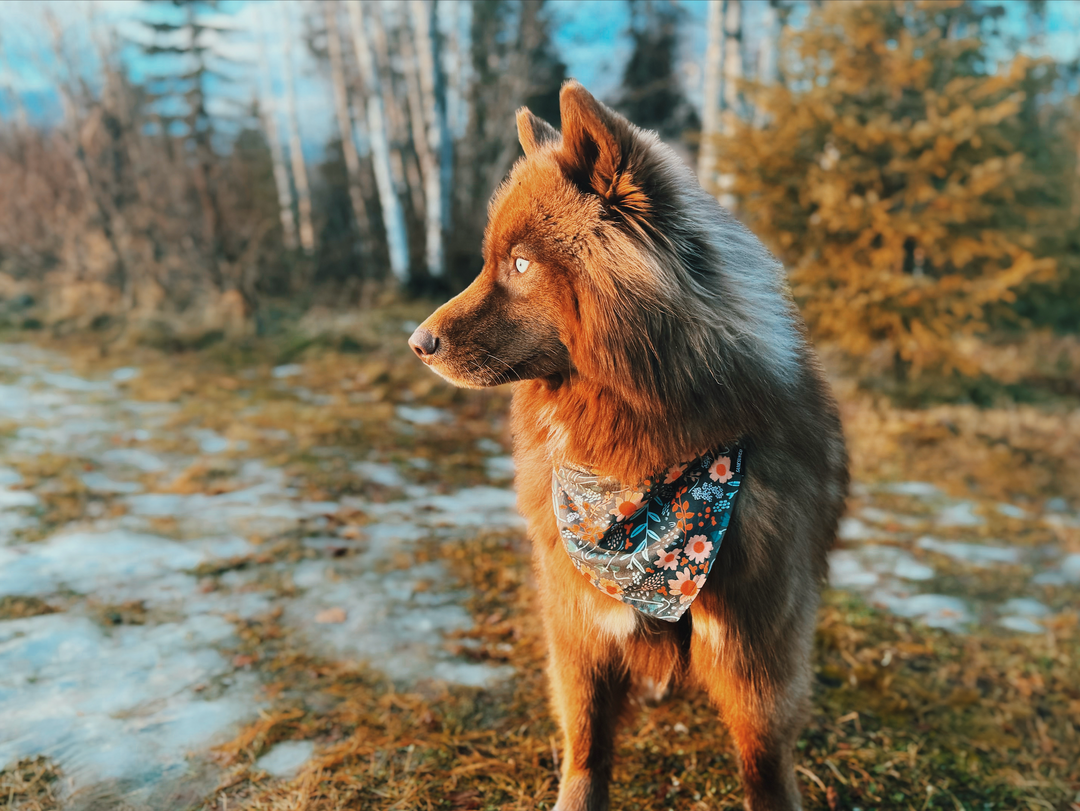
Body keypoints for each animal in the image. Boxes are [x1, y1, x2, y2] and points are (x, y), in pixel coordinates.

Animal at [408, 80, 846, 811]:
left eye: (520, 263)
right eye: (491, 259)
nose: (417, 342)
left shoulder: (758, 645)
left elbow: (763, 760)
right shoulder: (580, 622)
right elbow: (586, 742)